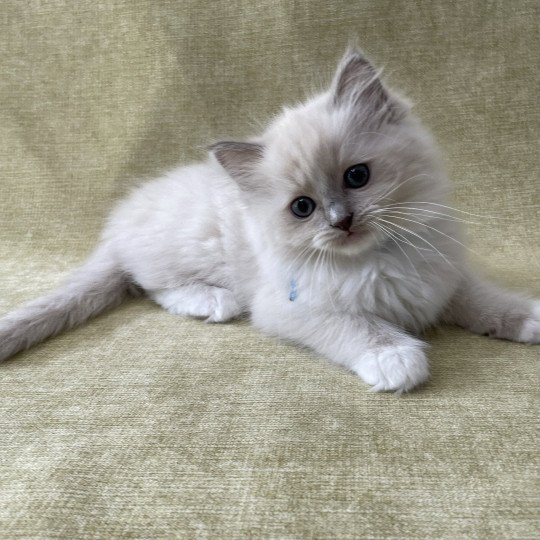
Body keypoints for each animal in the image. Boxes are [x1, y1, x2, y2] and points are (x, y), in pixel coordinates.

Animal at [1, 48, 540, 390]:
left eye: (357, 176)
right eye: (302, 207)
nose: (341, 220)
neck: (378, 259)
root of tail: (120, 219)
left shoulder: (441, 275)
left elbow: (486, 301)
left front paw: (527, 317)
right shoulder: (291, 307)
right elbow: (359, 326)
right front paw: (395, 358)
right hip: (194, 249)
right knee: (150, 285)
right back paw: (212, 302)